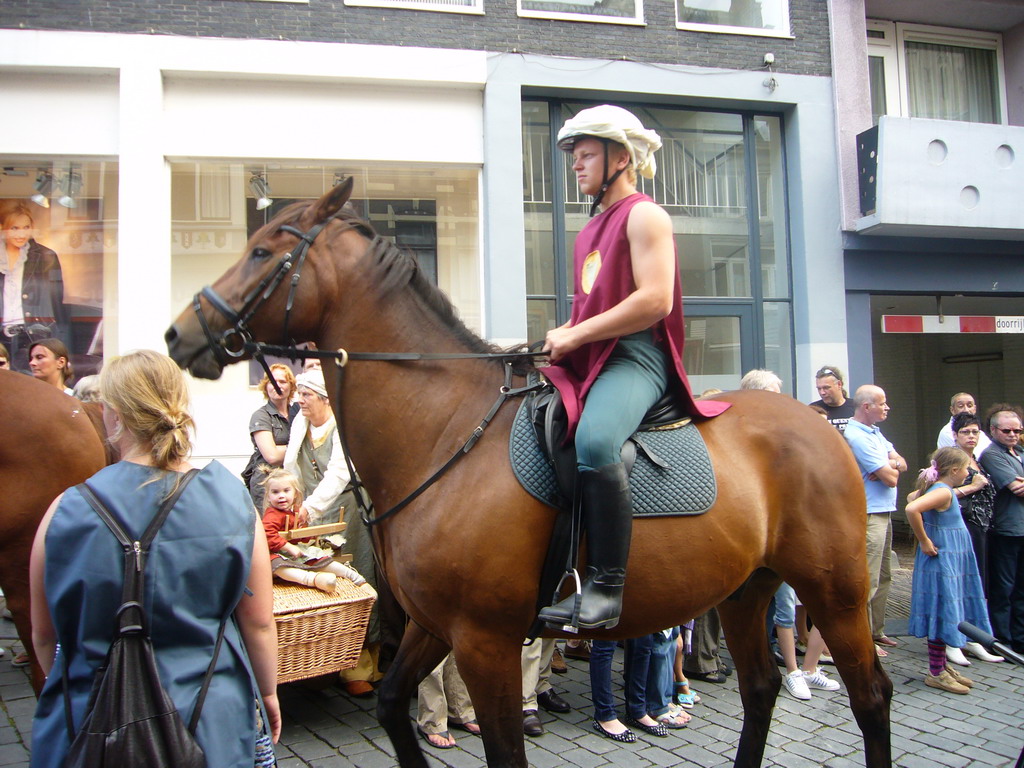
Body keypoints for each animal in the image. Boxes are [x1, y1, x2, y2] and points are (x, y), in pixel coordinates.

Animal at [165, 182, 888, 768]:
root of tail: (824, 424)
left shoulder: (485, 642)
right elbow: (393, 705)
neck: (443, 431)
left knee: (871, 695)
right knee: (760, 689)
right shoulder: (436, 626)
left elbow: (503, 752)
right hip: (745, 589)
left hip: (835, 593)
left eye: (264, 252)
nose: (177, 335)